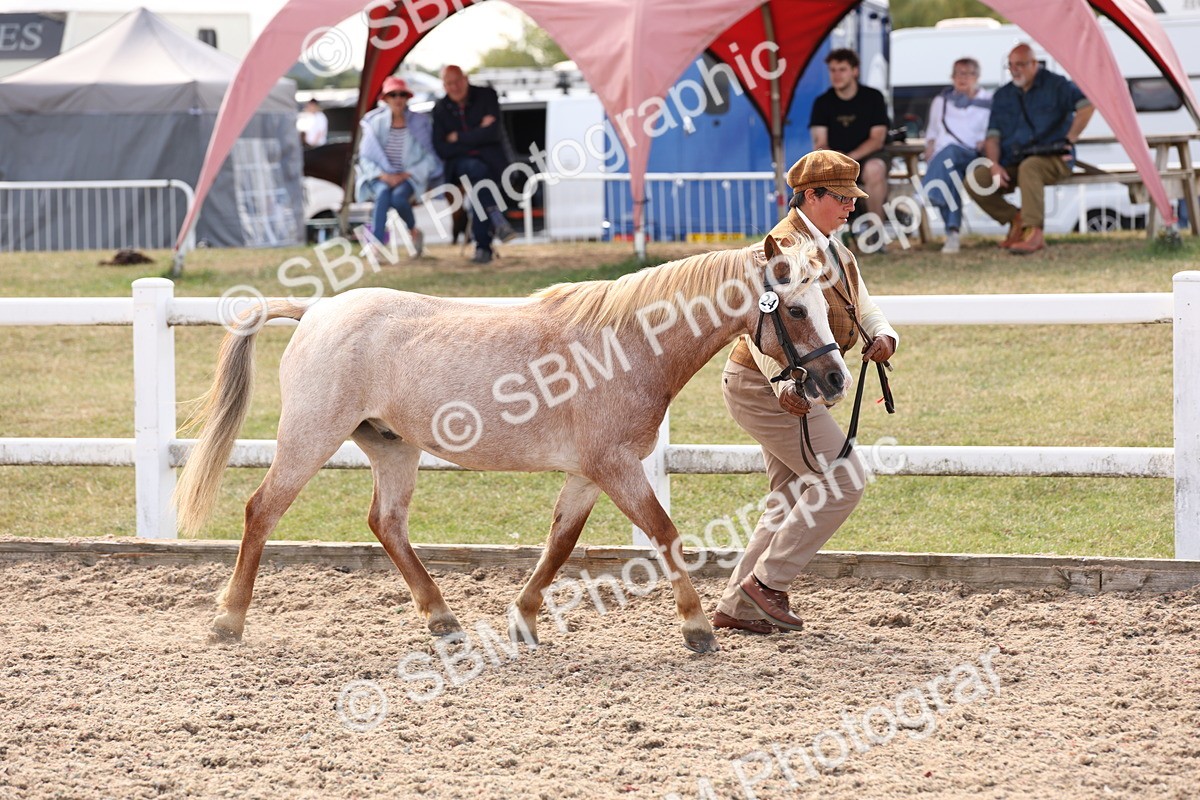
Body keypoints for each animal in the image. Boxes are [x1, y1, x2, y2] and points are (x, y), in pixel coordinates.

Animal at [174, 234, 851, 654]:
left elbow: (560, 543)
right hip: (309, 438)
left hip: (393, 448)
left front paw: (523, 620)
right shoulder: (616, 467)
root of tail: (315, 313)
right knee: (262, 510)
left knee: (386, 522)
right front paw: (697, 629)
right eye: (794, 310)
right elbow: (664, 534)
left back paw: (443, 620)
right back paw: (228, 621)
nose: (835, 379)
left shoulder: (589, 474)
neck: (626, 344)